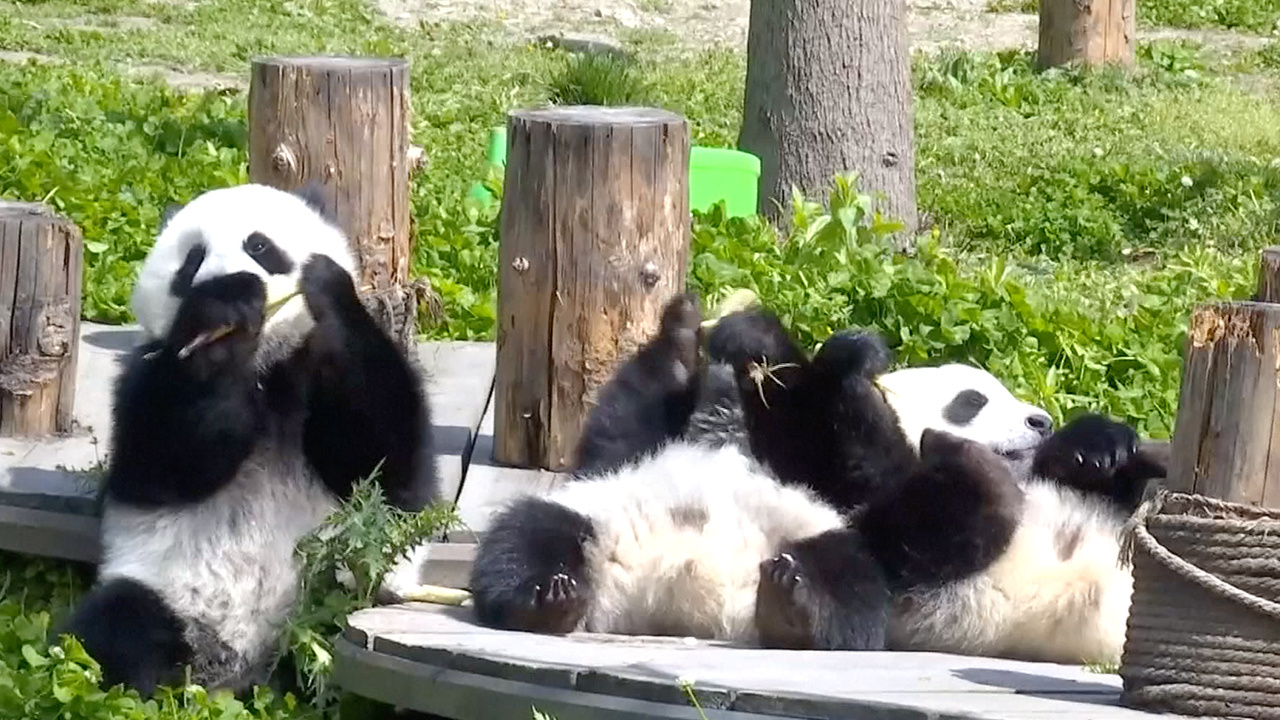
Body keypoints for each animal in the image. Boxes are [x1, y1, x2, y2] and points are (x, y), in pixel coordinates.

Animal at [58, 181, 440, 691]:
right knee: (115, 630)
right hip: (160, 589)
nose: (232, 276)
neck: (265, 364)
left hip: (351, 578)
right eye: (193, 260)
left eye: (259, 245)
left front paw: (327, 292)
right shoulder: (147, 375)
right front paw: (223, 309)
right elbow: (164, 462)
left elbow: (383, 462)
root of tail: (244, 662)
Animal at [471, 289, 1172, 661]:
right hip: (596, 514)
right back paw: (545, 598)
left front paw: (1098, 446)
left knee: (862, 577)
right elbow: (621, 433)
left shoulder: (832, 476)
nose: (1038, 420)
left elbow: (851, 457)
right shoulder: (681, 439)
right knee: (527, 534)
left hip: (837, 547)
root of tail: (662, 594)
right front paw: (705, 334)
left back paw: (796, 604)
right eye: (972, 398)